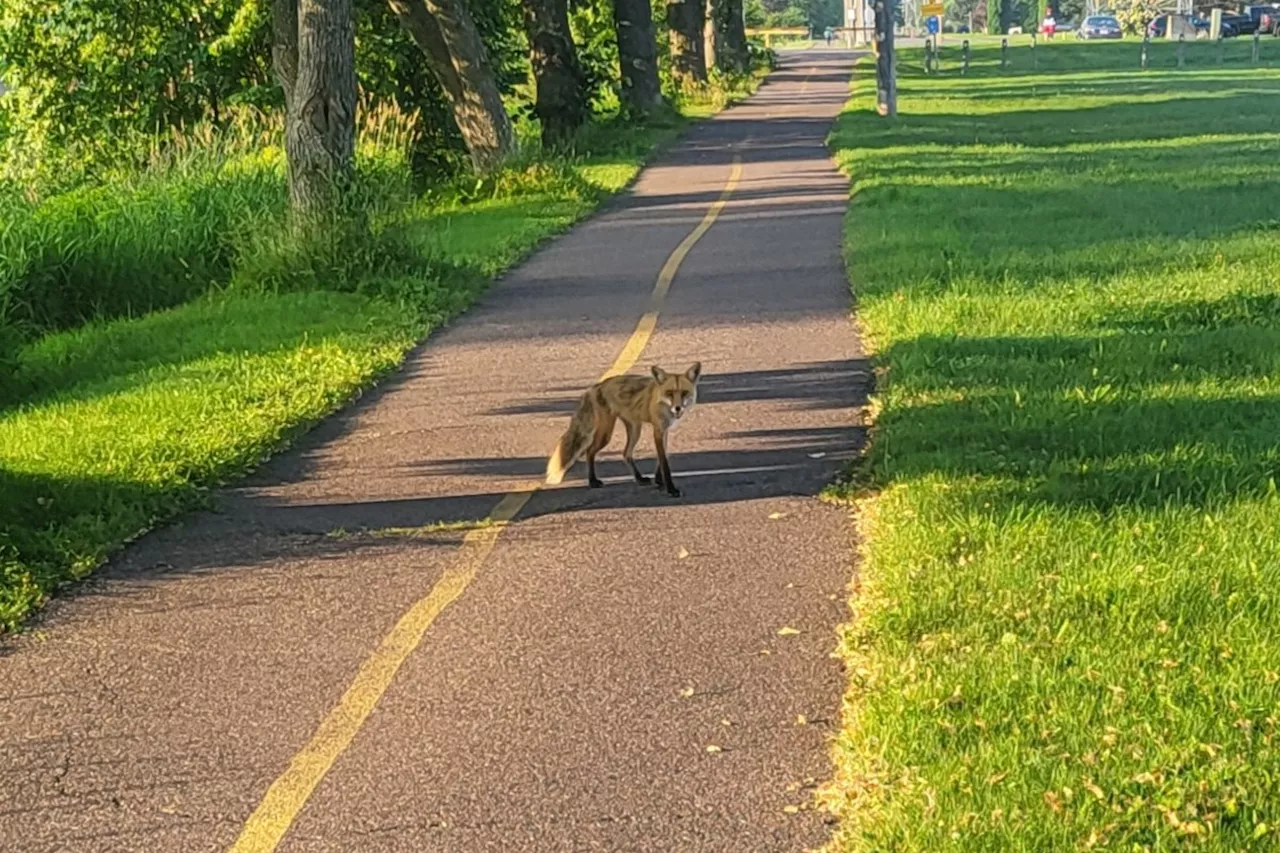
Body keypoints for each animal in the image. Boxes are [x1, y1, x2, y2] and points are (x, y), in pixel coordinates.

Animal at [540, 361, 701, 494]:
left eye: (684, 393)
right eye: (669, 393)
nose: (677, 408)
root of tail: (594, 387)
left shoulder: (664, 431)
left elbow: (663, 458)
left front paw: (659, 481)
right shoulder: (658, 430)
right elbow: (664, 463)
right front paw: (670, 489)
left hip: (635, 429)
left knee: (625, 453)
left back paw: (639, 479)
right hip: (606, 434)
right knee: (589, 451)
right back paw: (592, 481)